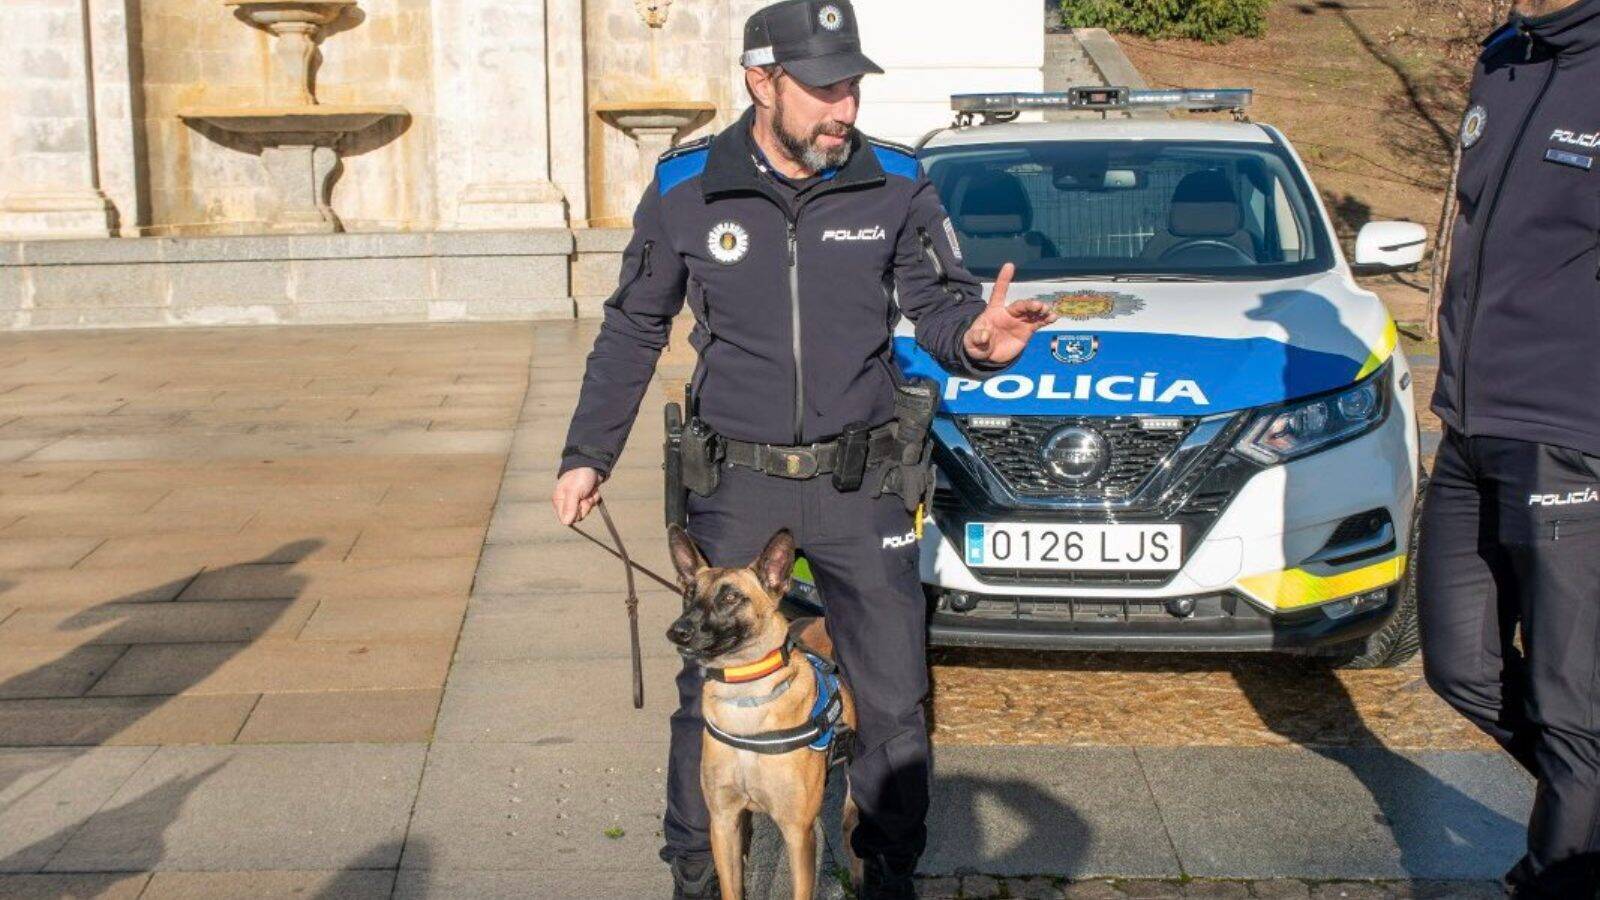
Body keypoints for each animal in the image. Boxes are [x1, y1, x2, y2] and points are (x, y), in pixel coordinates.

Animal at [665, 525, 857, 896]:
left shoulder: (798, 834)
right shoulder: (723, 823)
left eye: (730, 598)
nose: (676, 631)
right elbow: (732, 887)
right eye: (689, 593)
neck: (746, 698)